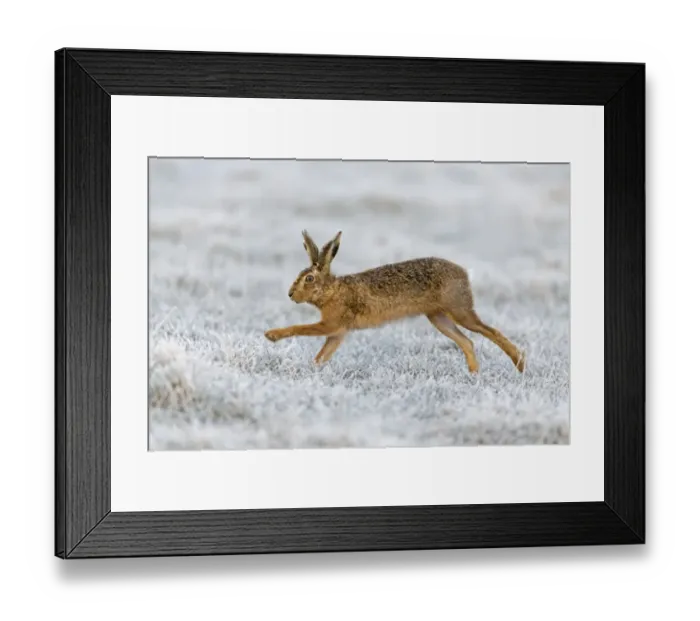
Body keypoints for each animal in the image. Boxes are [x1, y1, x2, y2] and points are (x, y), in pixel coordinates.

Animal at [264, 230, 525, 373]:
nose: (290, 294)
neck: (332, 290)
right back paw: (474, 374)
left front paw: (271, 335)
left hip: (459, 310)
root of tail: (463, 273)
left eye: (309, 278)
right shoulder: (338, 333)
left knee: (489, 331)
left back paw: (519, 363)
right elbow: (322, 355)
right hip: (438, 317)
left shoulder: (331, 324)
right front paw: (313, 369)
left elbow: (301, 328)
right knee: (467, 342)